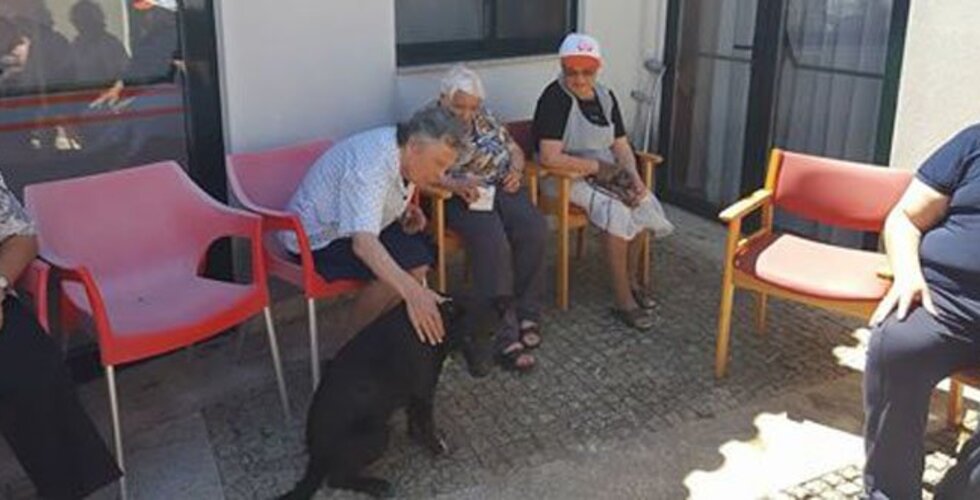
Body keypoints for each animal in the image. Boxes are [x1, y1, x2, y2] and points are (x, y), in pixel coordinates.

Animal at [280, 295, 504, 499]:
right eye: (468, 338)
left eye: (492, 335)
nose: (483, 371)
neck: (440, 319)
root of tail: (315, 453)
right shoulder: (424, 391)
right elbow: (427, 424)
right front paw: (436, 447)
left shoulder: (415, 393)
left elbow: (415, 419)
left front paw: (417, 438)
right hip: (376, 435)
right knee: (336, 478)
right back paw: (376, 485)